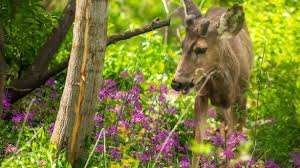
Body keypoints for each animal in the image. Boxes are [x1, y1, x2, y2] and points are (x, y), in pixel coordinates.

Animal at [171, 0, 253, 167]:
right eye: (182, 45)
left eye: (201, 49)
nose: (176, 83)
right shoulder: (201, 95)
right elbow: (198, 143)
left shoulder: (241, 98)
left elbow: (237, 140)